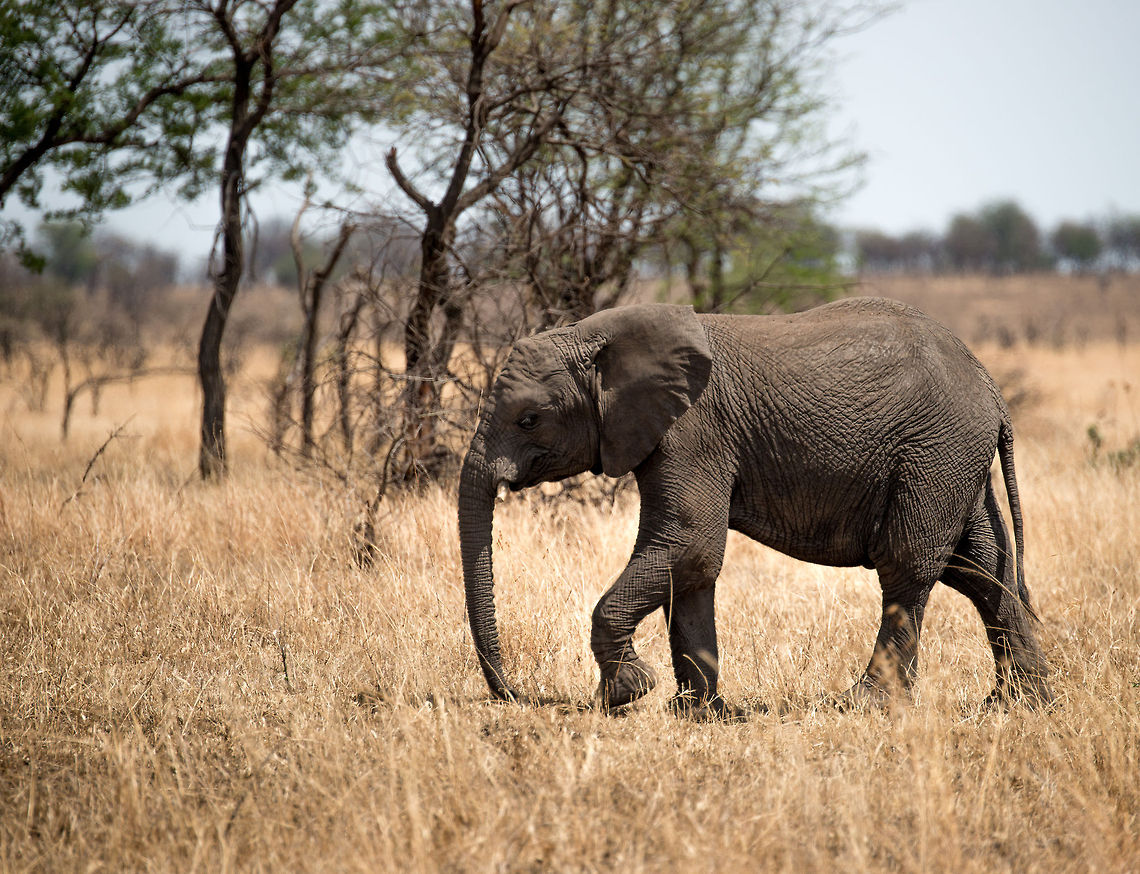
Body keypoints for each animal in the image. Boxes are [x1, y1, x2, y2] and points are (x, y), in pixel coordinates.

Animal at [457, 298, 1053, 716]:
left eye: (529, 419)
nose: (516, 695)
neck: (598, 332)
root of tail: (993, 390)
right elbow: (690, 564)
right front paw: (698, 713)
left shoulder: (693, 431)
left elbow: (690, 546)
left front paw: (627, 693)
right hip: (951, 459)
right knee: (979, 568)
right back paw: (1023, 704)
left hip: (935, 451)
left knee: (908, 566)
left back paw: (865, 705)